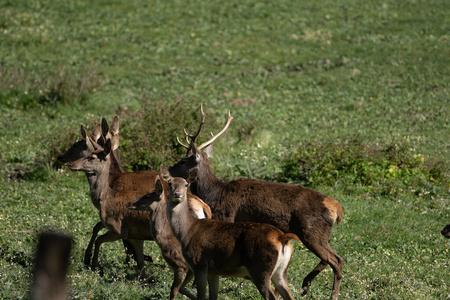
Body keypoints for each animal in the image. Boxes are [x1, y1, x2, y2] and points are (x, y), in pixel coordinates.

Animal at [160, 166, 300, 300]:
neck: (186, 231)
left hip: (260, 269)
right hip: (280, 271)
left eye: (186, 184)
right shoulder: (213, 272)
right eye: (170, 183)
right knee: (288, 295)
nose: (177, 194)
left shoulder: (199, 264)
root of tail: (282, 237)